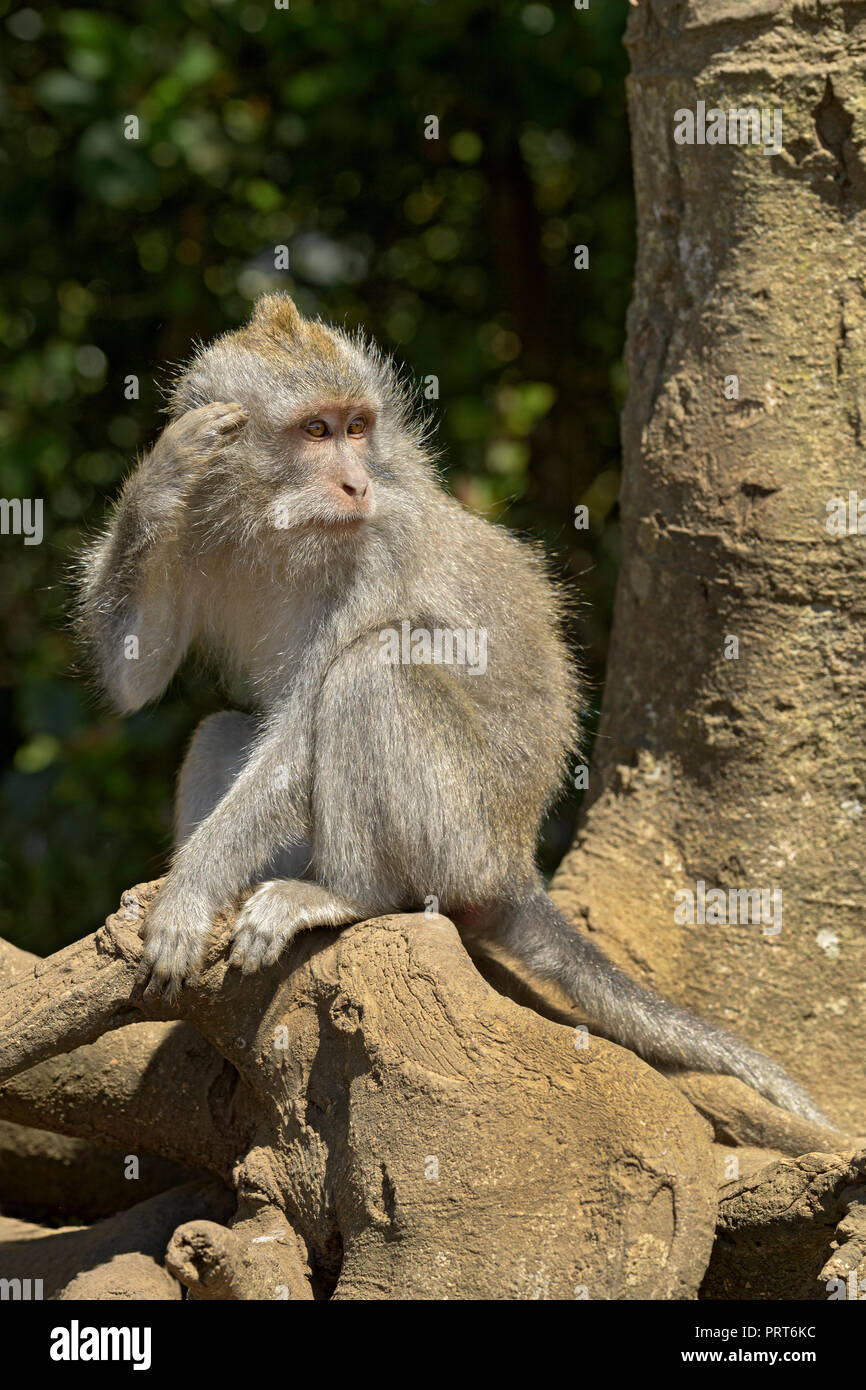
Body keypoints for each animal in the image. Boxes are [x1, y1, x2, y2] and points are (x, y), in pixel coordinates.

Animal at [77, 291, 828, 1126]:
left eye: (357, 427)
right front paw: (165, 465)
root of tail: (515, 868)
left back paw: (344, 895)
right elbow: (137, 672)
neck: (277, 525)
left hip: (462, 839)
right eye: (315, 431)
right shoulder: (200, 530)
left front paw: (189, 895)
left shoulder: (382, 548)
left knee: (374, 673)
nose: (355, 486)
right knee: (224, 727)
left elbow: (302, 732)